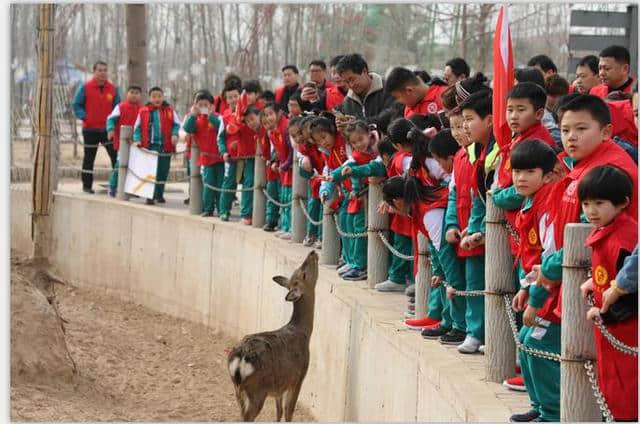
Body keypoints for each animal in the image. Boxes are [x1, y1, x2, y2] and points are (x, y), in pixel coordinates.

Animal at [228, 250, 320, 422]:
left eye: (299, 270)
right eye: (303, 274)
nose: (312, 252)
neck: (304, 333)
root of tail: (239, 362)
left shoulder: (279, 387)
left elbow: (279, 411)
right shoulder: (299, 376)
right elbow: (289, 411)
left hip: (238, 390)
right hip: (257, 389)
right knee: (248, 417)